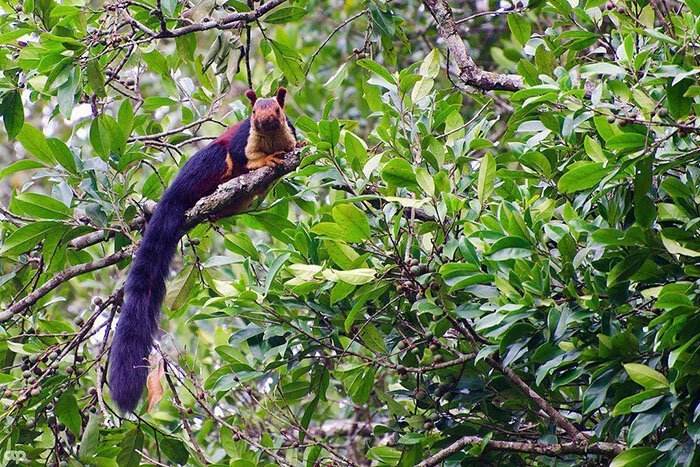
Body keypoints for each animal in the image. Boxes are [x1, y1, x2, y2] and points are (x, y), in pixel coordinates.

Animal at [108, 88, 298, 414]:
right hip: (211, 163)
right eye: (253, 112)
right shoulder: (242, 143)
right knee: (220, 164)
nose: (264, 120)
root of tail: (172, 193)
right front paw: (268, 159)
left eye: (276, 109)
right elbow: (247, 160)